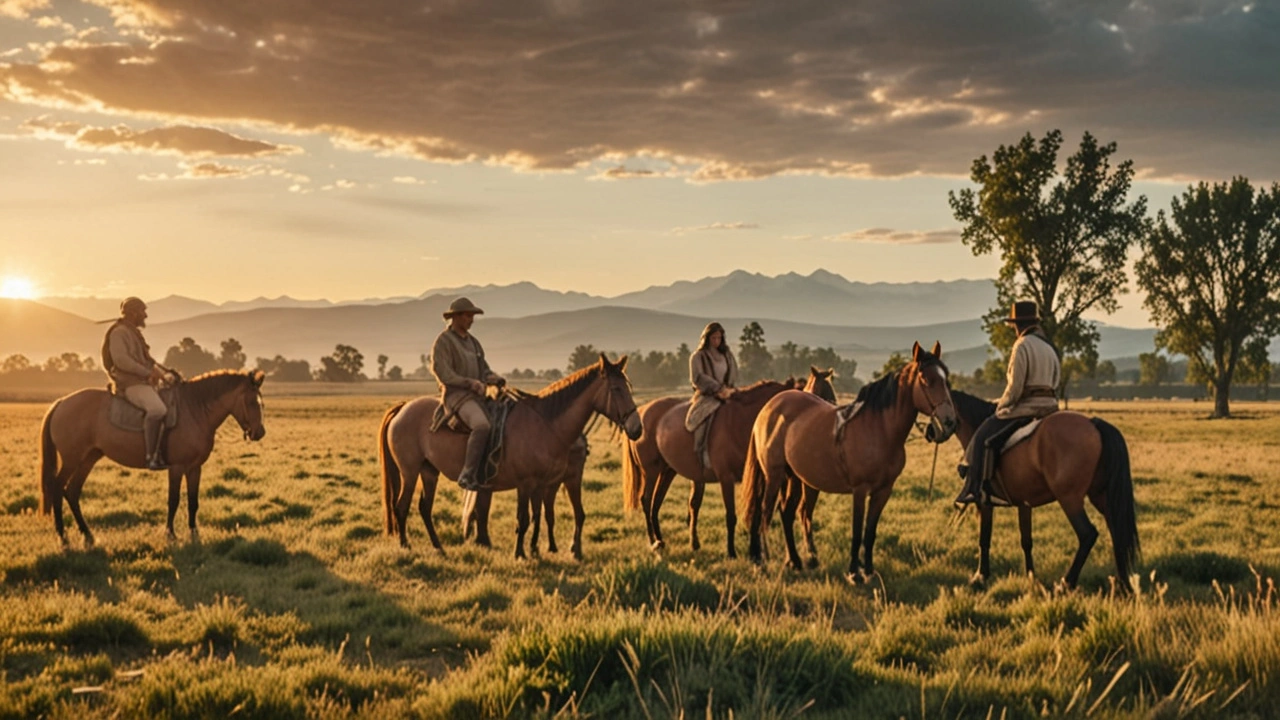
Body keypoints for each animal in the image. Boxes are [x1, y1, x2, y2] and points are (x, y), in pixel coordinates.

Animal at [38, 368, 267, 543]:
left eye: (261, 402)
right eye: (251, 402)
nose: (259, 433)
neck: (194, 410)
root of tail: (61, 402)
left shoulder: (194, 468)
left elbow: (193, 501)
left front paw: (194, 533)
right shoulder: (176, 468)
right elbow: (173, 500)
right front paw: (171, 534)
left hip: (88, 459)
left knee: (72, 492)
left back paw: (87, 534)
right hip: (72, 460)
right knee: (58, 488)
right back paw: (62, 535)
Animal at [376, 351, 640, 556]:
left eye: (629, 387)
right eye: (616, 389)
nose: (637, 428)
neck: (545, 424)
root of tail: (403, 408)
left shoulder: (541, 483)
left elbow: (536, 515)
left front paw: (534, 550)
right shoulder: (526, 483)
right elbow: (523, 518)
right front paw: (520, 553)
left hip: (429, 471)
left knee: (424, 507)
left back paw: (438, 547)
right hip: (410, 471)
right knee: (401, 505)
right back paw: (405, 545)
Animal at [622, 376, 798, 556]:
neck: (739, 422)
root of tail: (641, 413)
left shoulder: (757, 479)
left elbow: (755, 512)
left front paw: (755, 552)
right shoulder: (726, 478)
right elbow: (731, 516)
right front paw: (731, 552)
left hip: (667, 472)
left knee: (656, 504)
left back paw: (660, 540)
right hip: (651, 472)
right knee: (646, 500)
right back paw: (653, 541)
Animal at [742, 338, 962, 579]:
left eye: (946, 378)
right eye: (926, 379)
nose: (949, 422)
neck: (879, 429)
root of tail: (769, 408)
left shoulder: (883, 491)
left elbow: (870, 532)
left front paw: (869, 571)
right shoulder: (860, 489)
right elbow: (857, 531)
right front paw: (854, 573)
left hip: (795, 478)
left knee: (786, 513)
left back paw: (795, 561)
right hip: (774, 476)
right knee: (764, 514)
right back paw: (764, 561)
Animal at [952, 389, 1141, 591]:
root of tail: (1093, 424)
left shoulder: (985, 501)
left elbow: (984, 537)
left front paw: (980, 576)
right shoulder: (1024, 502)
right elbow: (1026, 540)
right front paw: (1031, 577)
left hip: (1070, 499)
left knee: (1088, 534)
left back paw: (1066, 583)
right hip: (1101, 496)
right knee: (1116, 530)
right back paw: (1123, 584)